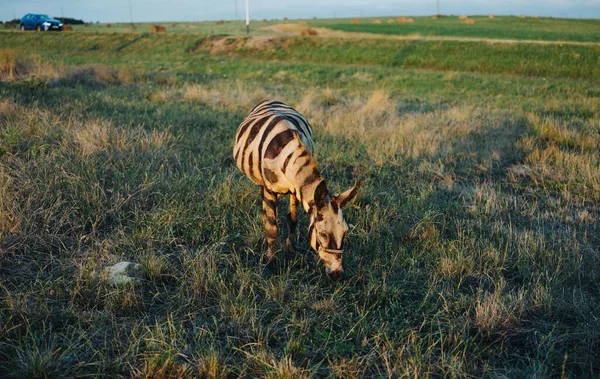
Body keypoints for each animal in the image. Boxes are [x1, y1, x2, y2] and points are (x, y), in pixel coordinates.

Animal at [232, 99, 358, 280]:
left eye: (346, 232)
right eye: (322, 235)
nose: (337, 275)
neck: (288, 154)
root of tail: (271, 99)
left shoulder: (295, 189)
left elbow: (292, 220)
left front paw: (290, 250)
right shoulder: (271, 189)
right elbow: (271, 228)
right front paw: (270, 262)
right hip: (261, 182)